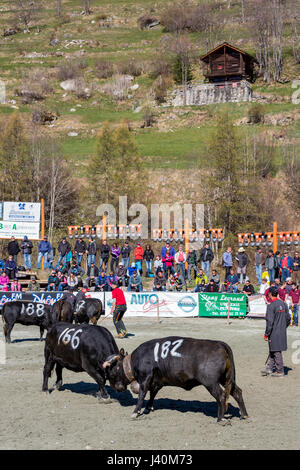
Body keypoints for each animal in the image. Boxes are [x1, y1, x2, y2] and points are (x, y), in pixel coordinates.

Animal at [103, 334, 248, 422]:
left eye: (112, 371)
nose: (115, 387)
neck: (134, 361)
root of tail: (220, 344)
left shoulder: (145, 379)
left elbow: (142, 395)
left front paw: (135, 412)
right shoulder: (156, 382)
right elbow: (152, 394)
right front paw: (148, 407)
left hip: (211, 383)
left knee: (222, 396)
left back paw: (220, 419)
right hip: (227, 379)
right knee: (237, 392)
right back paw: (244, 415)